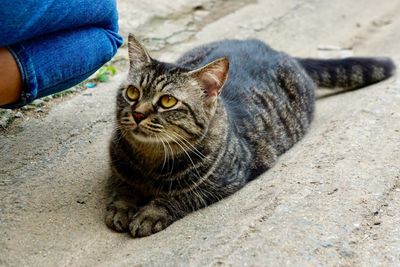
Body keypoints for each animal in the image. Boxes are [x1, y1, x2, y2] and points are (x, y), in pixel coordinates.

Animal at [104, 34, 396, 239]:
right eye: (132, 93)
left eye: (167, 101)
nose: (138, 114)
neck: (149, 161)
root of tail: (279, 51)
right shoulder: (118, 169)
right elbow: (122, 186)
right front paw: (122, 206)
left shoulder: (227, 180)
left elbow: (179, 196)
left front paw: (149, 213)